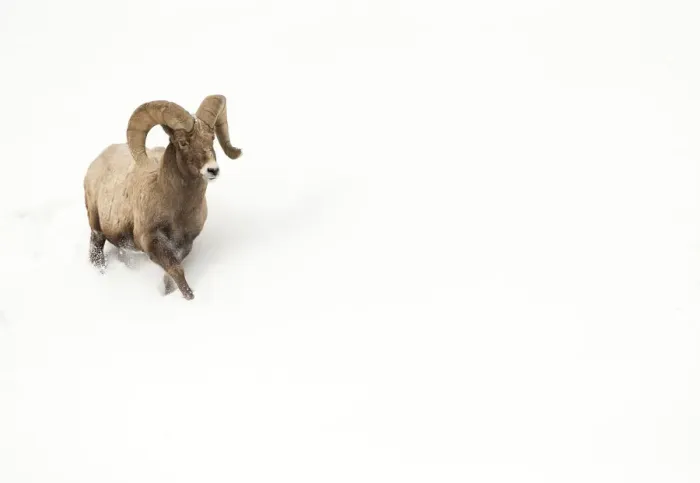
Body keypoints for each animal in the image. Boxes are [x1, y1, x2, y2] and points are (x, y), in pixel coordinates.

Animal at [83, 94, 242, 300]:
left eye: (212, 138)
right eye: (183, 142)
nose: (212, 170)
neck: (177, 210)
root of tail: (96, 162)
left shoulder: (184, 244)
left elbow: (170, 276)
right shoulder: (151, 241)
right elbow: (176, 271)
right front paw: (189, 298)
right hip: (96, 228)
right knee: (96, 253)